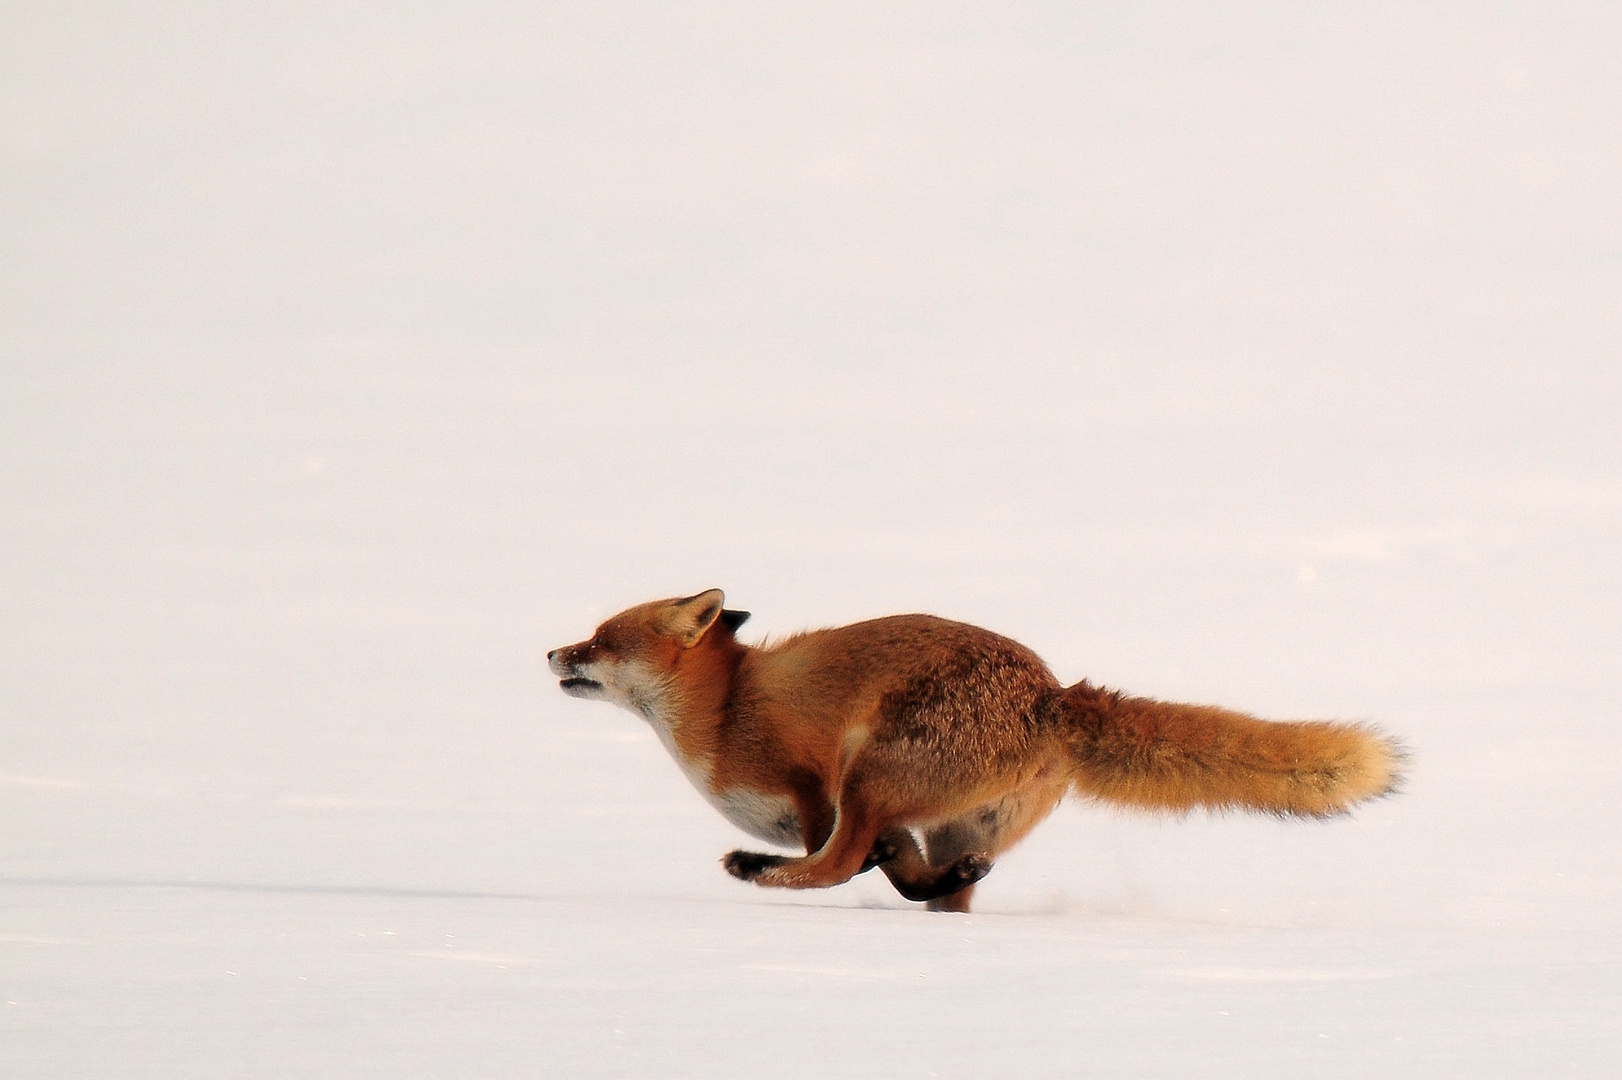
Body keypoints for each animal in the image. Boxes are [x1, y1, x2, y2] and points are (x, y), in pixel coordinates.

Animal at [548, 590, 1407, 908]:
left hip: (872, 773)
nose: (552, 654)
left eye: (598, 641)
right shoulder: (892, 830)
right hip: (950, 822)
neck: (726, 709)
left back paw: (764, 874)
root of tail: (1050, 696)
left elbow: (838, 856)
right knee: (941, 891)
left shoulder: (814, 783)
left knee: (832, 869)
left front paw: (772, 867)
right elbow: (892, 869)